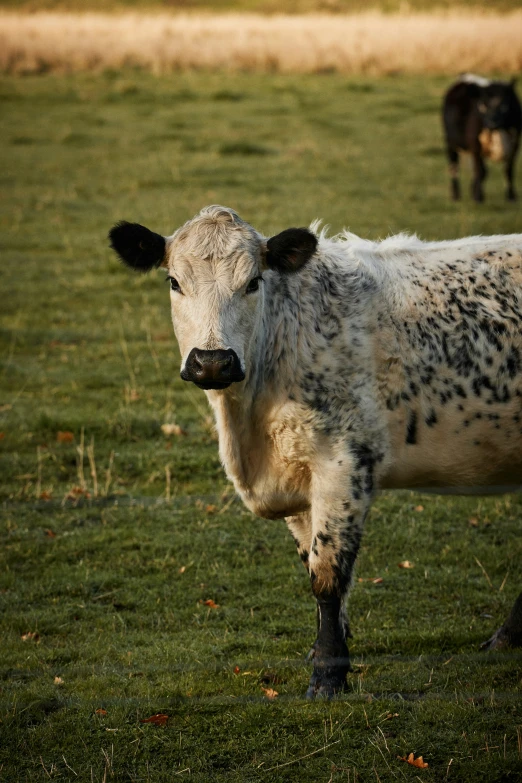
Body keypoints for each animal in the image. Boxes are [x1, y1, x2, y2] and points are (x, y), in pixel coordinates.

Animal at [108, 204, 520, 700]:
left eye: (253, 282)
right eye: (174, 282)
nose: (212, 362)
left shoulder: (343, 464)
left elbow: (327, 575)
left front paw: (327, 674)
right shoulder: (298, 480)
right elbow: (313, 565)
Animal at [438, 74, 520, 202]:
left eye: (504, 104)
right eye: (483, 104)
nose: (492, 122)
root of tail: (465, 76)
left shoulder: (515, 145)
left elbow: (508, 170)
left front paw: (511, 196)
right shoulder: (475, 145)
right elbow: (480, 171)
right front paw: (478, 197)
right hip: (451, 143)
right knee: (454, 167)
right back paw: (456, 195)